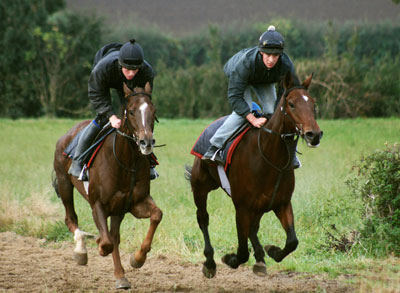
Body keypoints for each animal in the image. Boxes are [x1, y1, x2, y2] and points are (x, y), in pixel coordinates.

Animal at [52, 83, 162, 288]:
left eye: (153, 111)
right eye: (132, 111)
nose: (146, 142)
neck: (126, 162)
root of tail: (65, 136)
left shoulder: (135, 203)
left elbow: (157, 215)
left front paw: (137, 258)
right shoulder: (98, 205)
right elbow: (107, 242)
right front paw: (100, 246)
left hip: (118, 209)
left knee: (114, 236)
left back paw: (121, 276)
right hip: (64, 184)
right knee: (71, 218)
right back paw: (81, 251)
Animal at [185, 72, 322, 278]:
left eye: (313, 103)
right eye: (291, 104)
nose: (314, 134)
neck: (270, 159)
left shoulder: (281, 203)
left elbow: (292, 241)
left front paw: (271, 251)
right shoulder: (242, 207)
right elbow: (242, 252)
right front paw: (230, 259)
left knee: (253, 228)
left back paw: (259, 258)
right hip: (200, 186)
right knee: (203, 217)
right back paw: (210, 262)